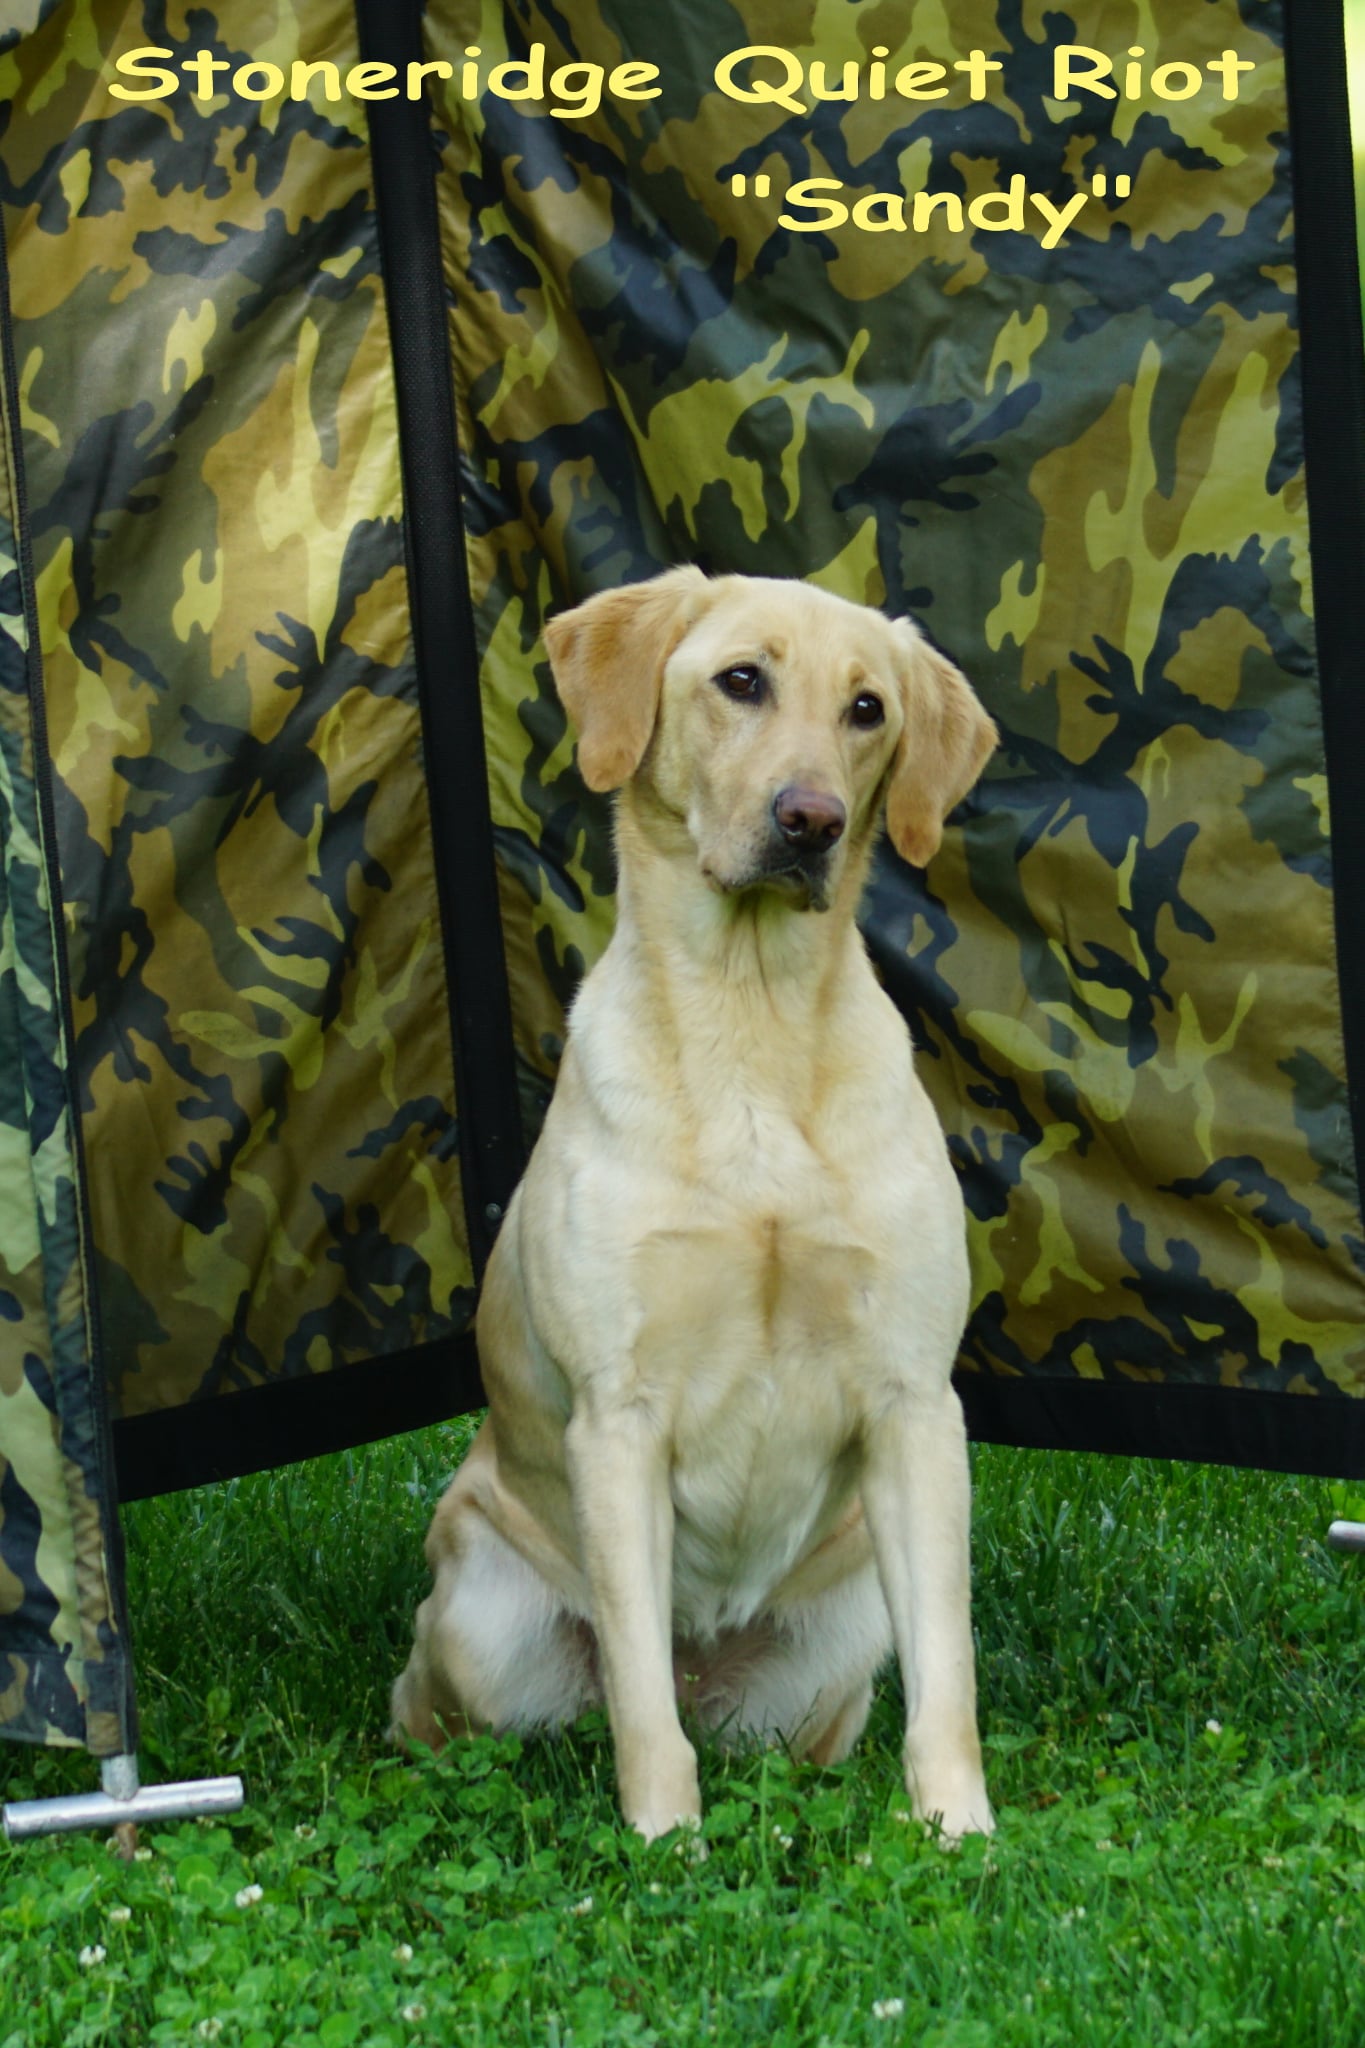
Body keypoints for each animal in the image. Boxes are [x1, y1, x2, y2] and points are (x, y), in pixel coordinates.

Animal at [392, 567, 998, 1841]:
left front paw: (961, 1829)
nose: (812, 818)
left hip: (842, 1631)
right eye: (742, 679)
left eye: (867, 708)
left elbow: (949, 1670)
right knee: (460, 1709)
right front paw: (666, 1839)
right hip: (477, 1617)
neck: (749, 1022)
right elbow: (637, 1694)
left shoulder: (916, 1404)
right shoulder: (619, 1414)